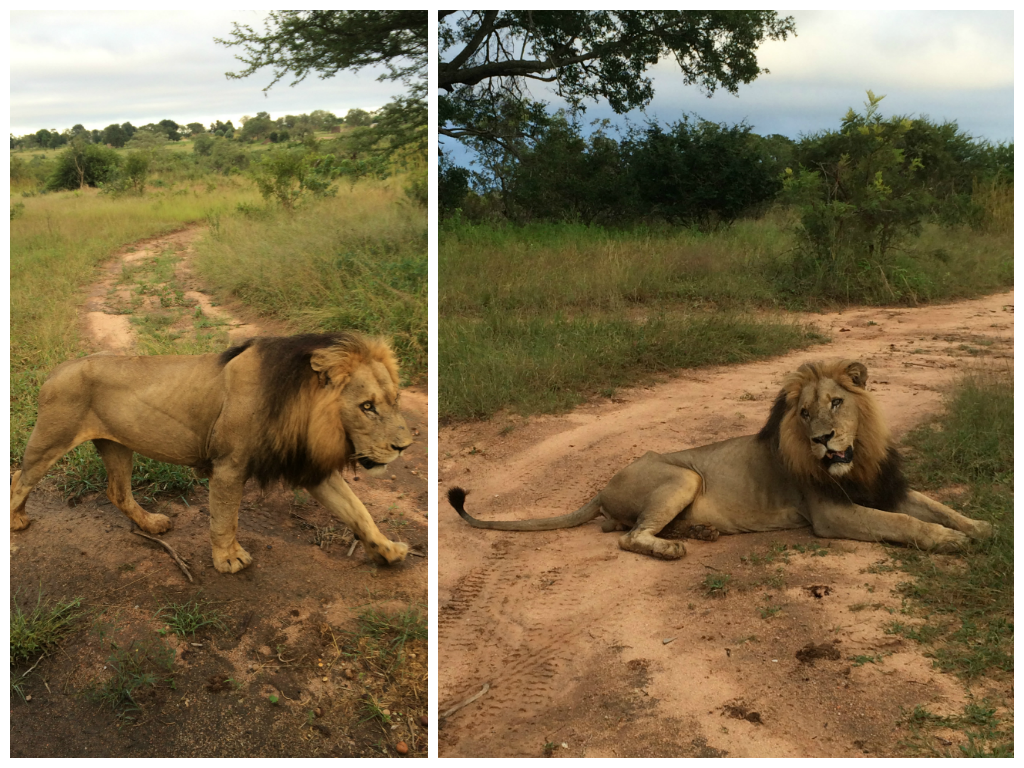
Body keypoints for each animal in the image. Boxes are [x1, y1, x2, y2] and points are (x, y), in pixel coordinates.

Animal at [11, 332, 413, 574]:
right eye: (366, 407)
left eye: (394, 400)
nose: (404, 447)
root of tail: (58, 368)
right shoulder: (229, 465)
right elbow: (225, 518)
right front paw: (229, 559)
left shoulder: (310, 467)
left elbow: (358, 511)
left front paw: (387, 550)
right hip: (51, 438)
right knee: (19, 478)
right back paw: (16, 521)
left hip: (117, 446)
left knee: (118, 492)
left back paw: (151, 524)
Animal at [449, 360, 993, 558]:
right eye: (804, 413)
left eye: (837, 403)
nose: (823, 439)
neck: (856, 458)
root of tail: (599, 489)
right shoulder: (832, 514)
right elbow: (903, 524)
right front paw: (949, 541)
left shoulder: (887, 487)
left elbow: (937, 507)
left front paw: (982, 527)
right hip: (682, 476)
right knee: (628, 536)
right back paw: (671, 547)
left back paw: (701, 532)